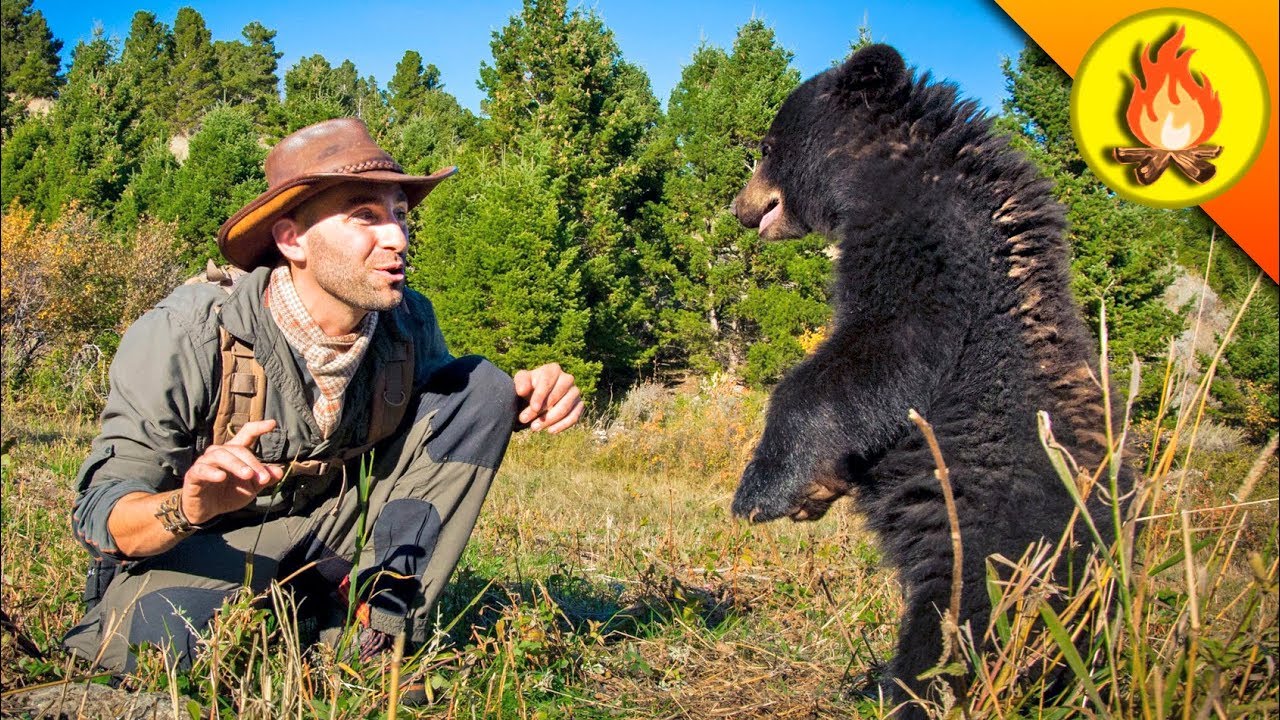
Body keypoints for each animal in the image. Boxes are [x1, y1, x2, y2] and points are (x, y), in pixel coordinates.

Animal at [729, 44, 1131, 715]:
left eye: (767, 144)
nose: (739, 208)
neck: (877, 174)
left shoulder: (929, 244)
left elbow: (886, 348)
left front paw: (765, 490)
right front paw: (819, 485)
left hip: (995, 557)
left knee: (954, 637)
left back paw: (914, 692)